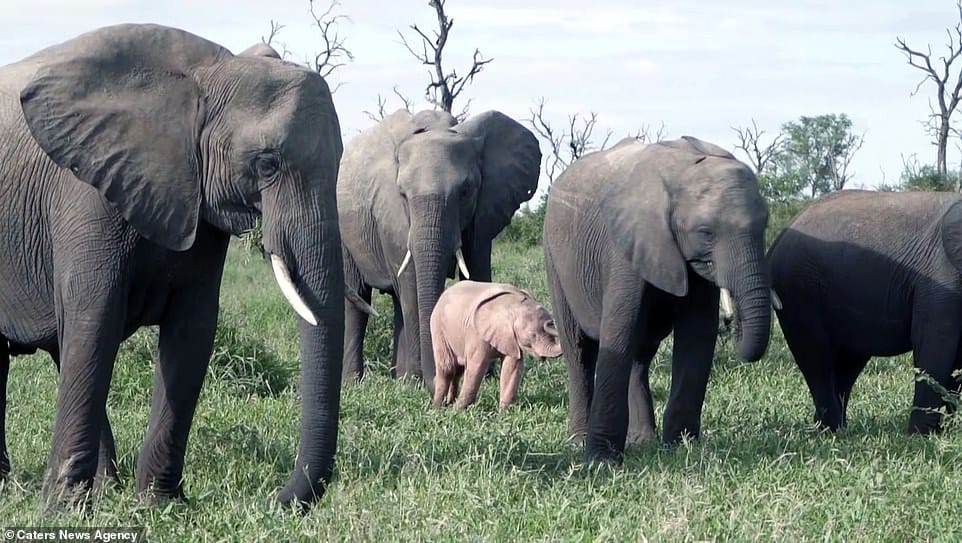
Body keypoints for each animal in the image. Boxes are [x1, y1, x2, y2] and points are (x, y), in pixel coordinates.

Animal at [0, 24, 347, 508]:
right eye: (267, 163)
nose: (273, 499)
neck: (211, 75)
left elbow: (192, 331)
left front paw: (159, 504)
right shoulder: (85, 196)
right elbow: (93, 322)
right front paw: (64, 509)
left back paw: (102, 487)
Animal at [337, 109, 542, 389]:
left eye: (465, 191)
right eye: (402, 194)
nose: (443, 376)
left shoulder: (483, 211)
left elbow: (478, 274)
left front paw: (484, 376)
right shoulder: (393, 215)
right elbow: (411, 284)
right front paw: (417, 383)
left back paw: (399, 380)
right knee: (360, 299)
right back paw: (357, 383)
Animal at [430, 280, 562, 409]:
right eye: (532, 335)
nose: (550, 322)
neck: (514, 306)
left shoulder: (512, 339)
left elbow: (512, 367)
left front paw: (504, 412)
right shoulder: (476, 334)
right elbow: (476, 366)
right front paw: (458, 410)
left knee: (458, 370)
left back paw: (449, 402)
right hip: (439, 328)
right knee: (447, 368)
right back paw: (438, 407)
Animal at [543, 136, 772, 462]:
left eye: (765, 226)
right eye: (705, 232)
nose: (732, 322)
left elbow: (697, 333)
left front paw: (681, 446)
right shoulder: (625, 245)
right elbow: (618, 329)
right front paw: (601, 461)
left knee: (639, 352)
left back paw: (643, 439)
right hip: (554, 256)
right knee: (579, 350)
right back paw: (579, 441)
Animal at [769, 190, 962, 434]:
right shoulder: (941, 278)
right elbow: (935, 345)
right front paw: (922, 435)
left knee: (848, 363)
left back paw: (834, 428)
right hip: (797, 287)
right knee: (816, 359)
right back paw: (832, 430)